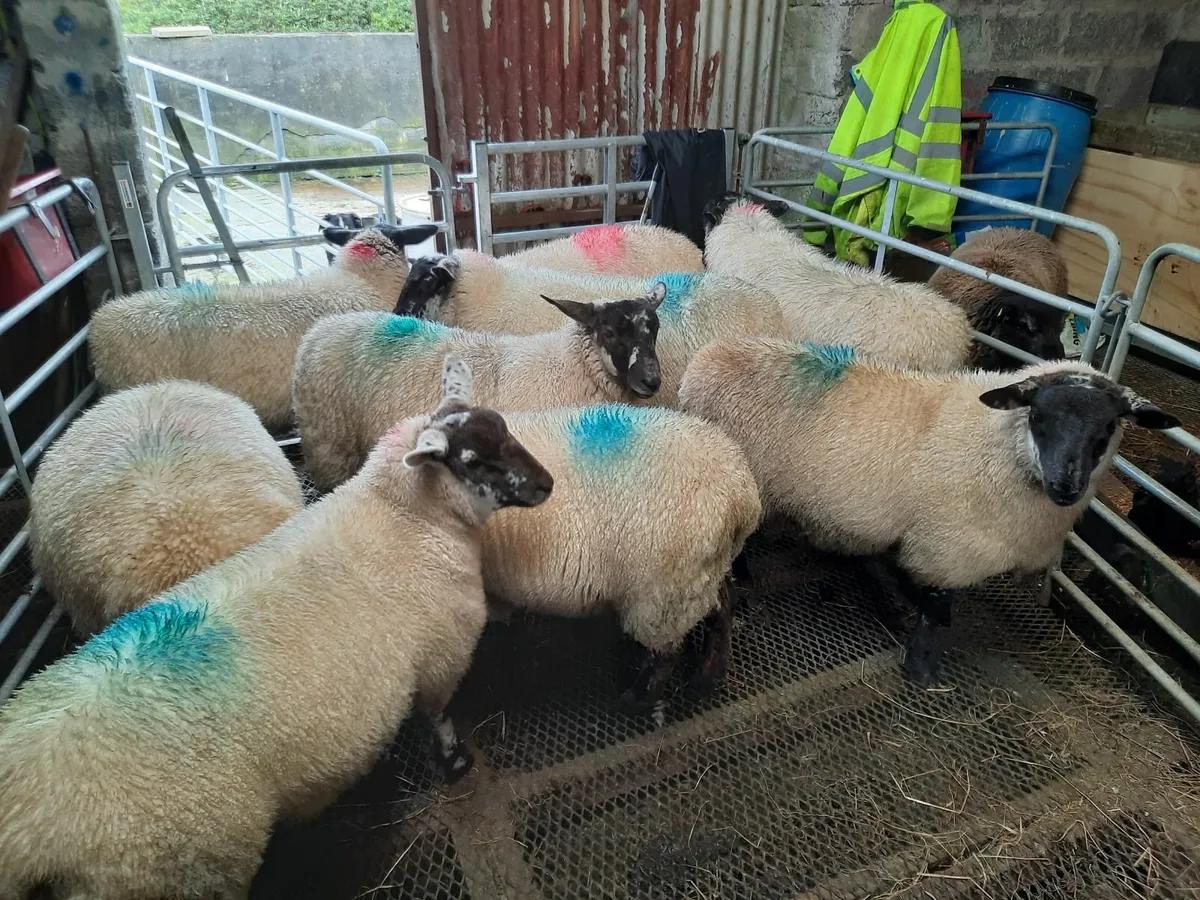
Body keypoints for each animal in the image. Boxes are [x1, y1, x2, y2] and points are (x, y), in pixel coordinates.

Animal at [294, 276, 786, 491]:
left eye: (655, 329)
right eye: (611, 332)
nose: (651, 380)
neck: (571, 365)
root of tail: (318, 332)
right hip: (330, 447)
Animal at [484, 404, 762, 707]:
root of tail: (742, 496)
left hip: (661, 595)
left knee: (667, 652)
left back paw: (637, 699)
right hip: (699, 578)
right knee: (723, 606)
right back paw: (707, 675)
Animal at [678, 338, 1180, 684]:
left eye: (1108, 427)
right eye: (1038, 416)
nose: (1066, 486)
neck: (997, 444)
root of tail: (706, 358)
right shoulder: (949, 546)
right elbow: (936, 608)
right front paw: (921, 669)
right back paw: (744, 576)